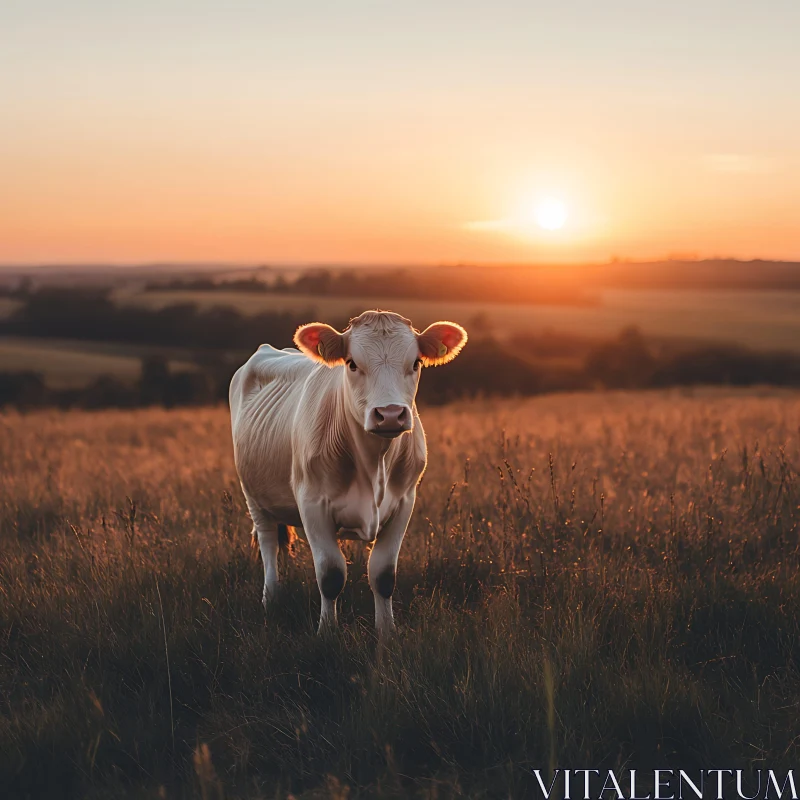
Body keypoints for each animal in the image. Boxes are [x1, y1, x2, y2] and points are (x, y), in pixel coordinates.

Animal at [228, 310, 466, 636]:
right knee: (267, 542)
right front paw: (327, 633)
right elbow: (330, 575)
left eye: (416, 362)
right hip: (253, 495)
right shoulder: (312, 504)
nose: (390, 414)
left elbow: (383, 575)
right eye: (352, 363)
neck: (374, 463)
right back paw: (271, 598)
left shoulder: (404, 502)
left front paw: (386, 633)